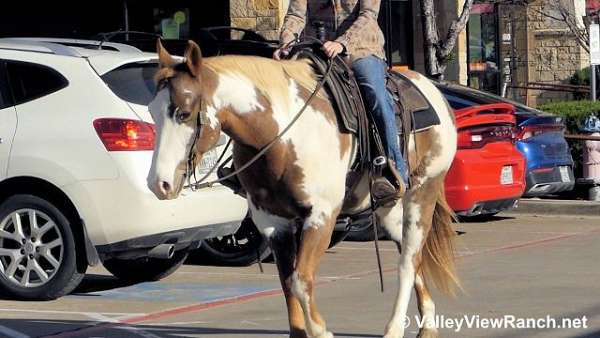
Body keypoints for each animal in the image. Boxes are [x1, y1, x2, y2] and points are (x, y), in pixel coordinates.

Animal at [148, 40, 462, 338]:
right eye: (152, 111)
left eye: (184, 112)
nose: (159, 183)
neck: (280, 136)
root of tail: (432, 91)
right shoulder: (273, 222)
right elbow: (287, 282)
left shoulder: (321, 216)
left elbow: (301, 281)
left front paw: (322, 330)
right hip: (389, 208)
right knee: (414, 256)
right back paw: (427, 323)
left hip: (423, 192)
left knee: (408, 260)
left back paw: (395, 328)